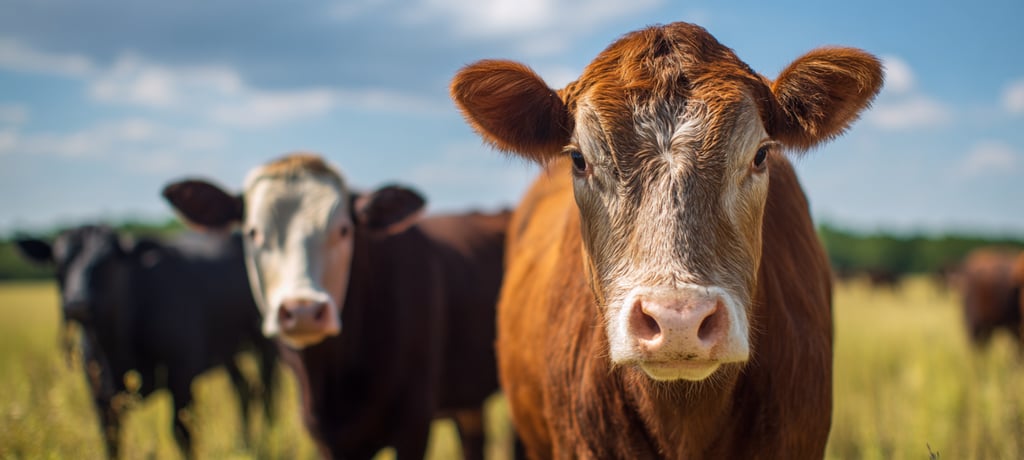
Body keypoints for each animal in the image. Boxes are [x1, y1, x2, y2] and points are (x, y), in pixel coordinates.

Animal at [15, 226, 278, 459]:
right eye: (60, 263)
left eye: (106, 263)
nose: (76, 305)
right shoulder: (99, 393)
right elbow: (111, 439)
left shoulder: (182, 373)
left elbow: (182, 433)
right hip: (227, 352)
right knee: (243, 389)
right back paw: (244, 444)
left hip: (264, 345)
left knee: (266, 393)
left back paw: (266, 440)